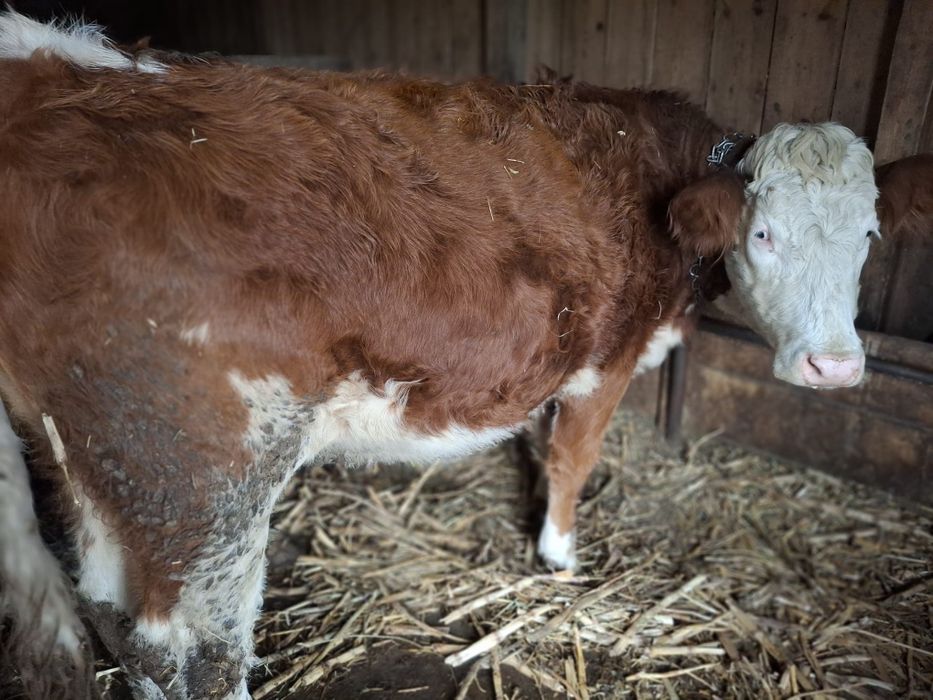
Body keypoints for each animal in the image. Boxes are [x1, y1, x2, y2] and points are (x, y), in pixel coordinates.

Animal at [0, 10, 927, 700]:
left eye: (867, 236)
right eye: (761, 233)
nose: (834, 367)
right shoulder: (607, 358)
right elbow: (571, 459)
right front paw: (557, 558)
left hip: (95, 467)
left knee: (106, 614)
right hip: (197, 468)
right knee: (192, 650)